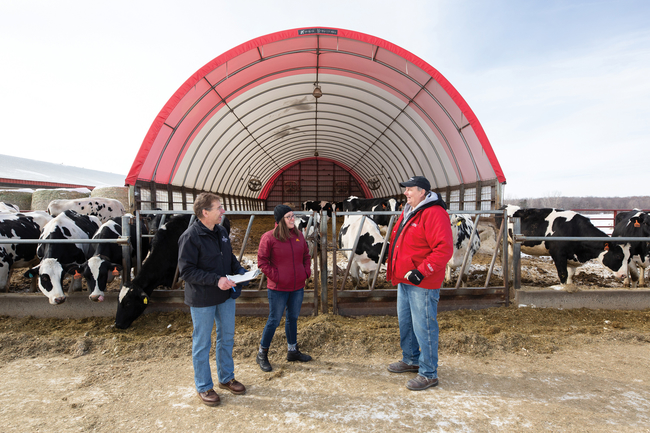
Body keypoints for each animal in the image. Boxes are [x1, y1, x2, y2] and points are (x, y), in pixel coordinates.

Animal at [496, 205, 628, 286]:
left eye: (628, 258)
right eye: (618, 256)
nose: (624, 275)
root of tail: (505, 206)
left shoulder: (571, 257)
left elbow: (570, 276)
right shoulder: (558, 254)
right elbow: (563, 274)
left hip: (512, 245)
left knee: (510, 260)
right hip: (503, 242)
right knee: (505, 260)